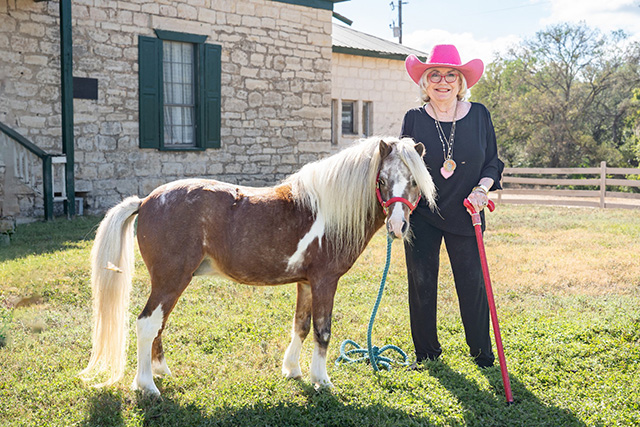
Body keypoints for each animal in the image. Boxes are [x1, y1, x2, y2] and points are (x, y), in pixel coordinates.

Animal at [79, 136, 436, 396]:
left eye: (414, 182)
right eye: (382, 179)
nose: (398, 226)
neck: (327, 210)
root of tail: (146, 200)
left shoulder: (305, 282)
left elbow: (301, 326)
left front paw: (293, 370)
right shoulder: (325, 281)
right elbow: (322, 331)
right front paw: (322, 381)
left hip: (171, 283)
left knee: (157, 325)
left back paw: (161, 372)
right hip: (170, 280)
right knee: (147, 324)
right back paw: (147, 386)